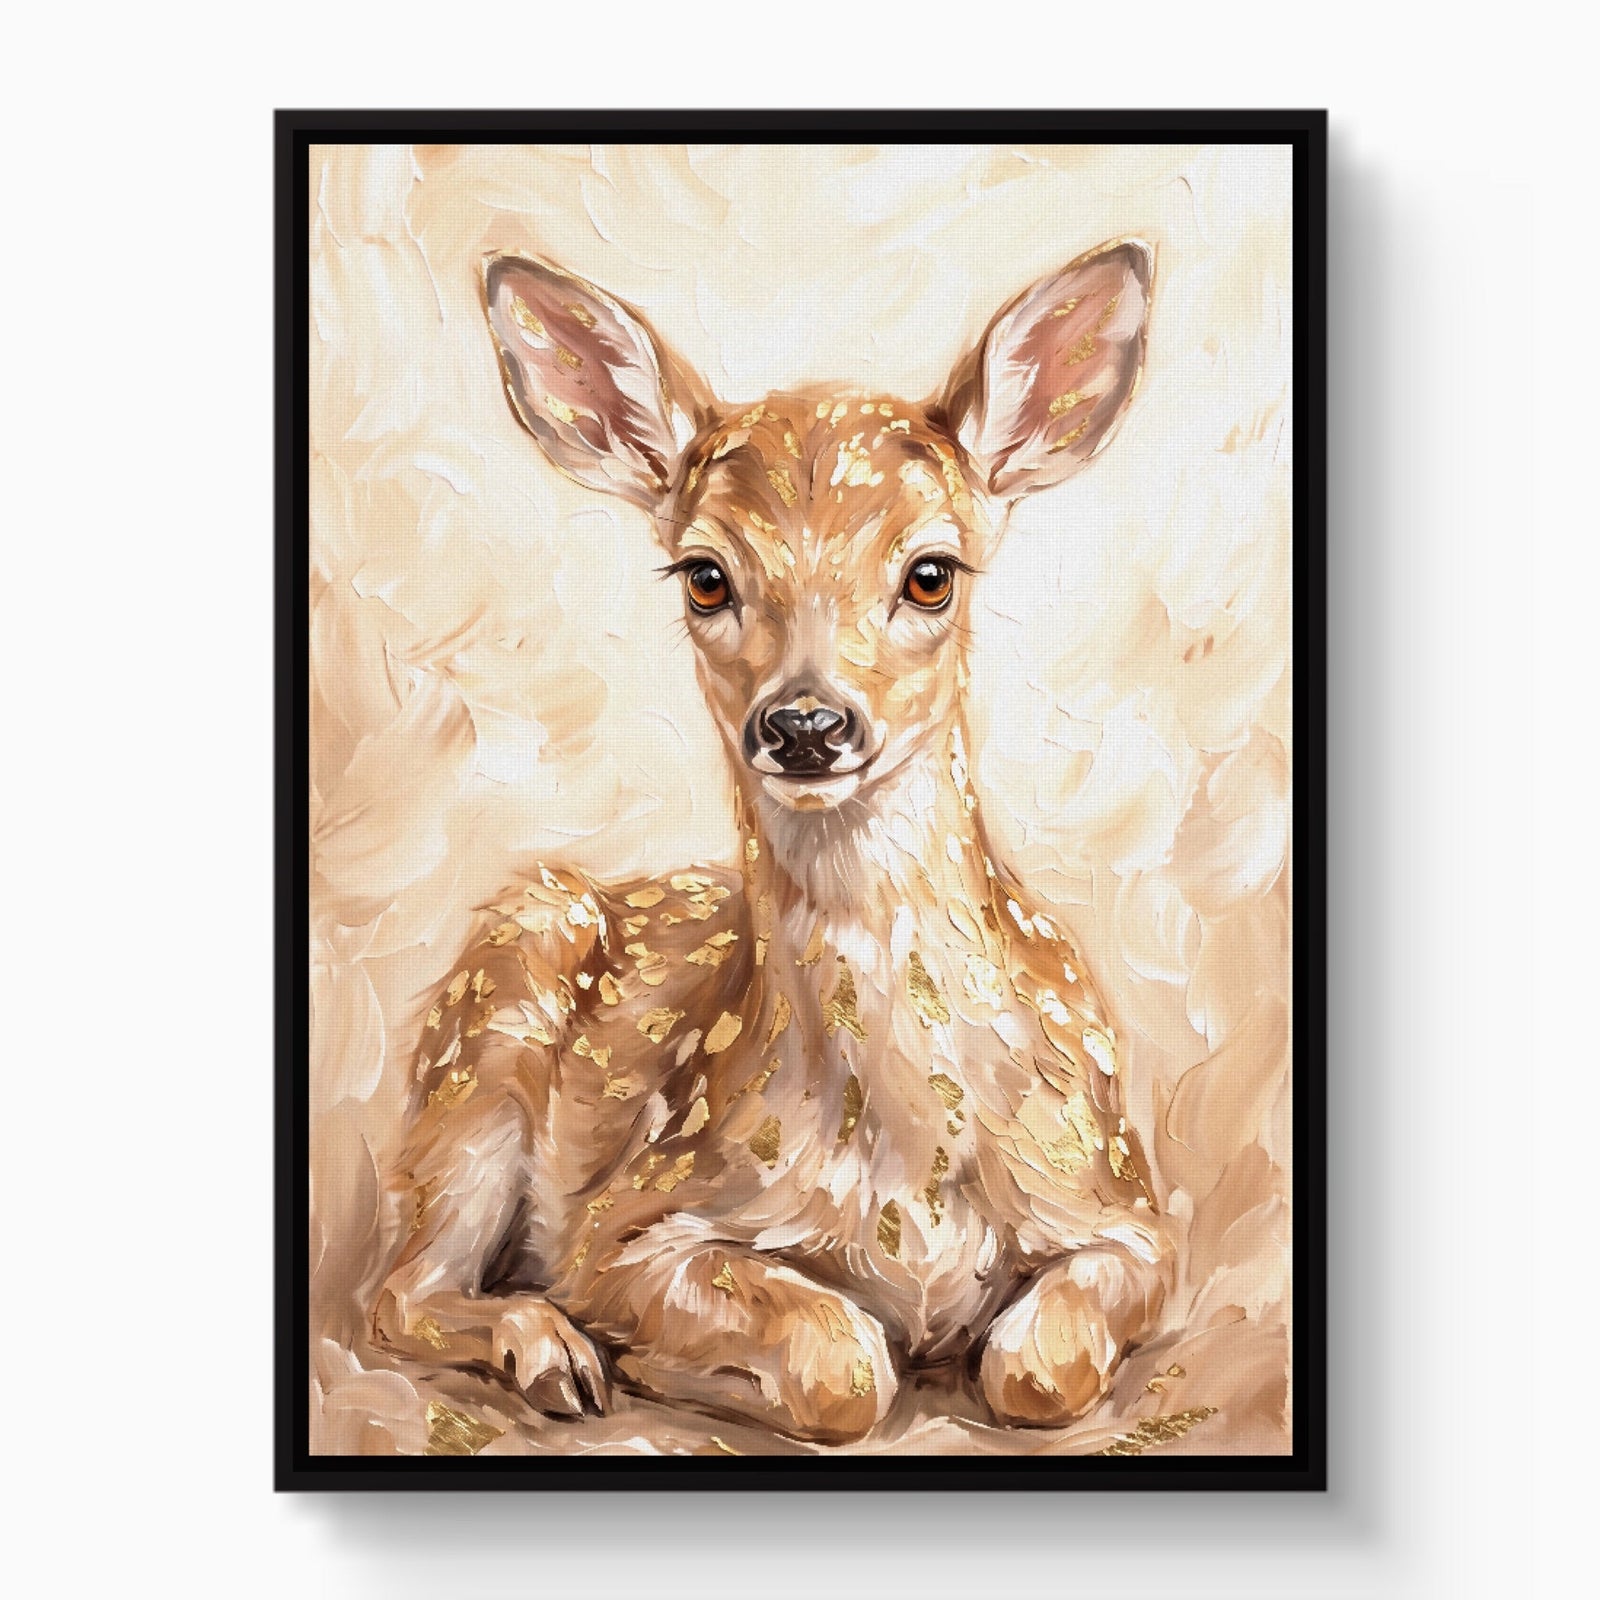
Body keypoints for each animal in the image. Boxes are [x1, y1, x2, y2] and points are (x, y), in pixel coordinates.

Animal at [368, 237, 1175, 1444]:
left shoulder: (1135, 1213)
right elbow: (841, 1367)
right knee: (399, 1292)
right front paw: (651, 1359)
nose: (804, 724)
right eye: (706, 574)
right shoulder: (624, 1224)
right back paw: (552, 1355)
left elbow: (1040, 1368)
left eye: (930, 571)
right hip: (492, 1025)